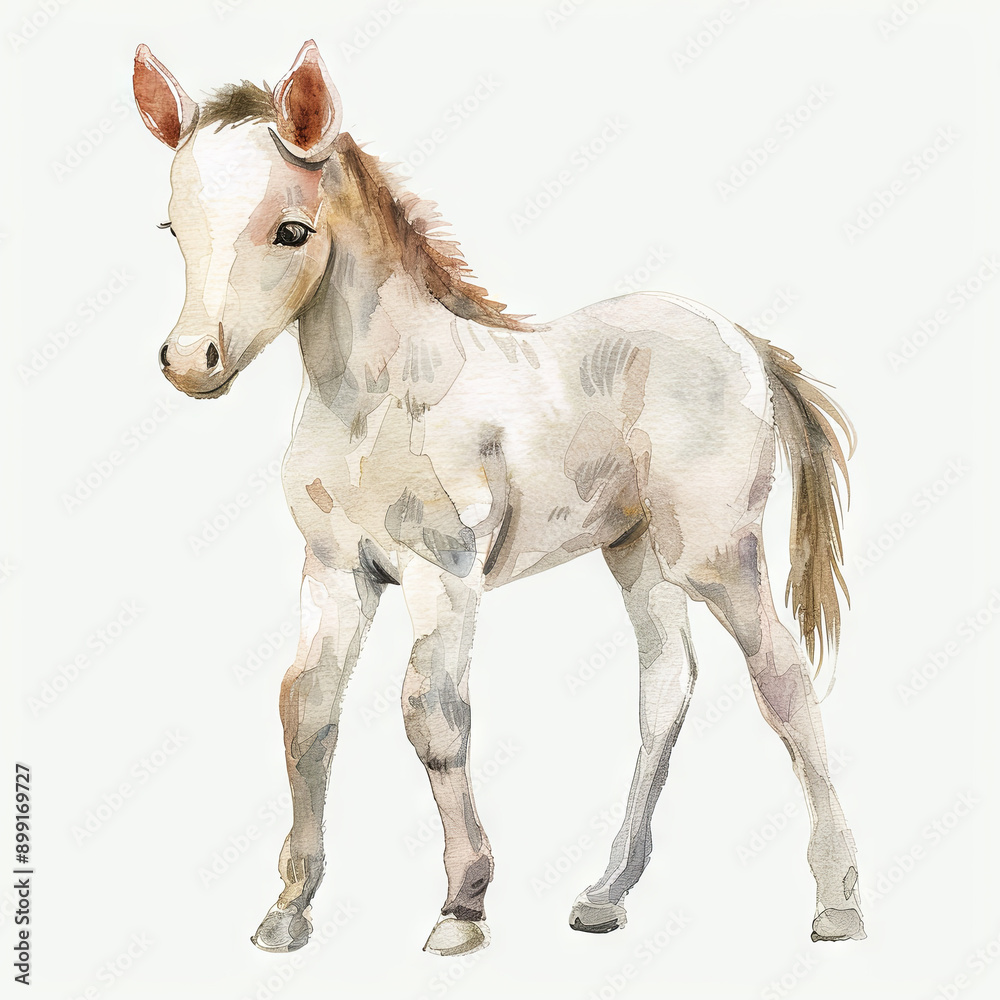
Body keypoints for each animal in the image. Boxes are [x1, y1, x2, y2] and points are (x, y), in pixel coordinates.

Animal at [133, 39, 865, 956]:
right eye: (172, 227)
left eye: (291, 230)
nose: (190, 360)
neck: (378, 403)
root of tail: (745, 342)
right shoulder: (335, 571)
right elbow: (306, 709)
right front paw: (288, 910)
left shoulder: (443, 573)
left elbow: (432, 715)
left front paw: (462, 905)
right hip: (636, 554)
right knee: (666, 687)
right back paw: (605, 894)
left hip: (716, 554)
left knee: (782, 676)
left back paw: (837, 902)